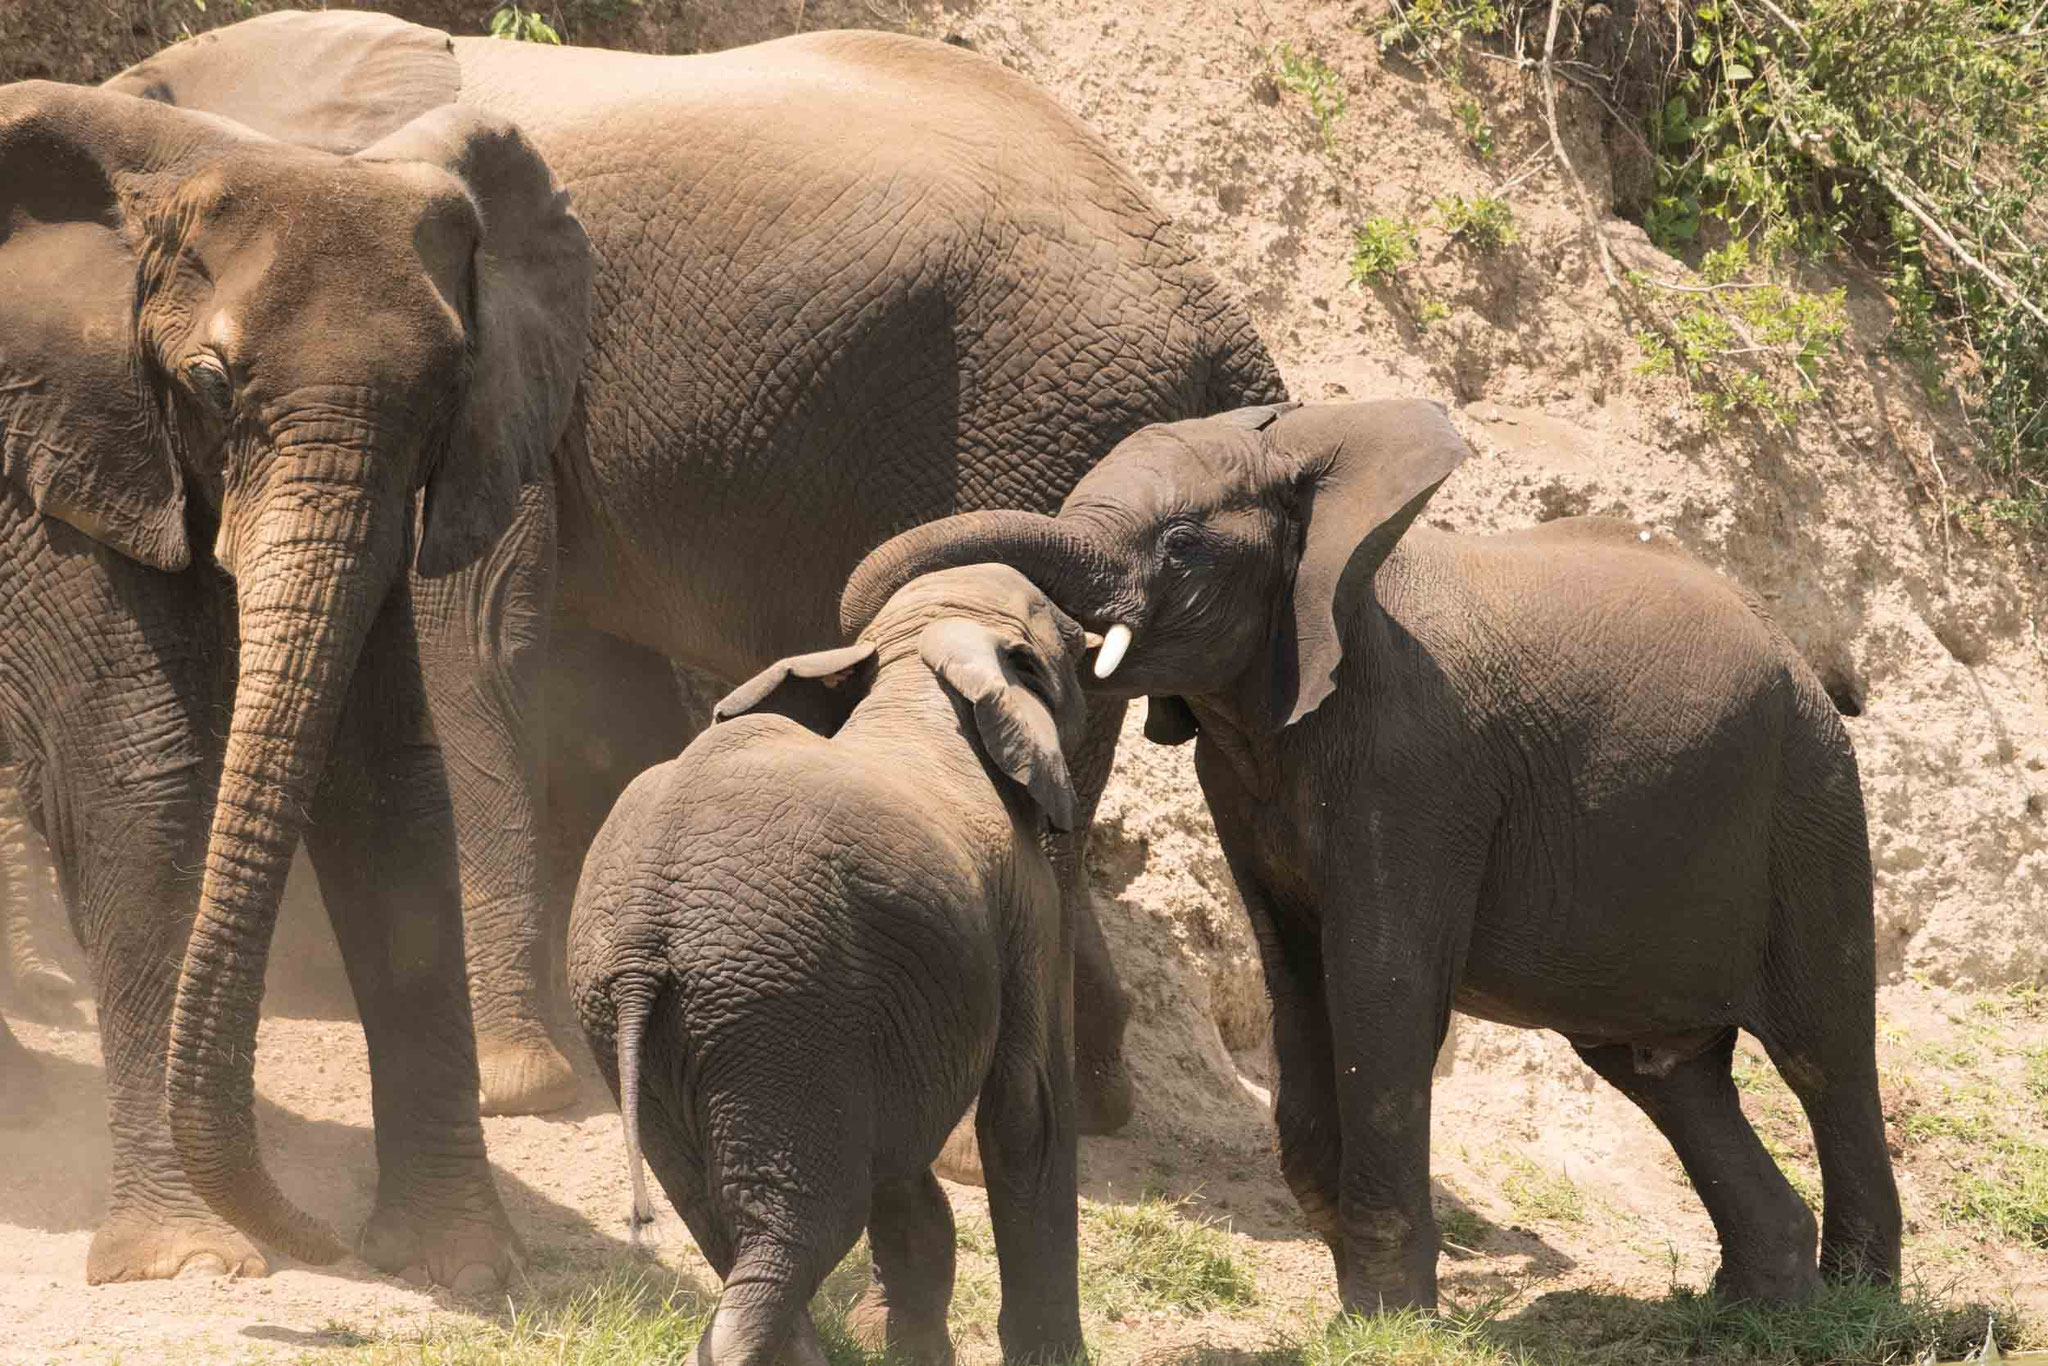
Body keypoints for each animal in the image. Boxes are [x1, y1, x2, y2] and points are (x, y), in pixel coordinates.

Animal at [0, 9, 1281, 1283]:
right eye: (206, 387)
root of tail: (1226, 324)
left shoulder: (511, 385)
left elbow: (476, 647)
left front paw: (516, 1085)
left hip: (1044, 424)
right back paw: (1096, 1098)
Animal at [572, 564, 1093, 1366]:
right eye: (1064, 635)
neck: (917, 668)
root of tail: (639, 939)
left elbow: (903, 1170)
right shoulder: (1027, 895)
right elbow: (1026, 1107)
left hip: (640, 1020)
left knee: (724, 1216)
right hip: (778, 1007)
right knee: (805, 1222)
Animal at [839, 400, 1901, 1311]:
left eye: (1181, 544)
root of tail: (1798, 654)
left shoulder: (1416, 764)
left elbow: (1379, 987)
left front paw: (1389, 1313)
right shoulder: (1246, 771)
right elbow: (1295, 976)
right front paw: (1362, 1279)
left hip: (1809, 799)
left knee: (1823, 1050)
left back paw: (1858, 1303)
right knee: (1666, 1073)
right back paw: (1758, 1302)